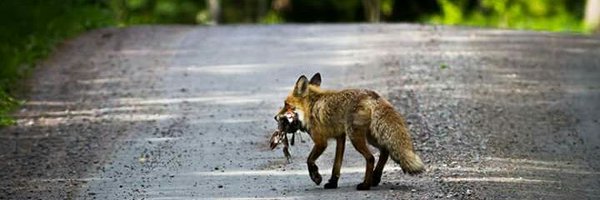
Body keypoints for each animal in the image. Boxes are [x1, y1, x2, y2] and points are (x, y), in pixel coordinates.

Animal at [274, 73, 424, 191]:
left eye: (286, 105)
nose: (275, 117)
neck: (311, 107)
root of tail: (373, 96)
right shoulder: (340, 137)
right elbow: (337, 164)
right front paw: (333, 183)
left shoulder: (321, 141)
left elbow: (309, 160)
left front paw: (316, 177)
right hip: (370, 136)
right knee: (385, 151)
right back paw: (375, 178)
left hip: (356, 137)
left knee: (371, 158)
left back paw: (365, 185)